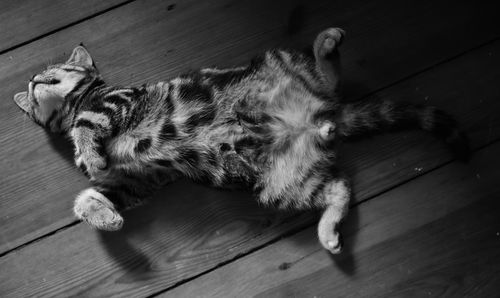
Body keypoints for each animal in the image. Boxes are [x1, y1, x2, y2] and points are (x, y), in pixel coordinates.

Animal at [12, 28, 468, 254]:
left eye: (52, 71)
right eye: (34, 88)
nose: (32, 80)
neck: (73, 105)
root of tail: (319, 119)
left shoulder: (118, 101)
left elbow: (88, 124)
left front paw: (90, 156)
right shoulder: (137, 181)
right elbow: (92, 197)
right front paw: (107, 217)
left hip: (282, 66)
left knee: (330, 77)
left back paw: (327, 42)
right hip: (282, 186)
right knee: (340, 186)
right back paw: (328, 232)